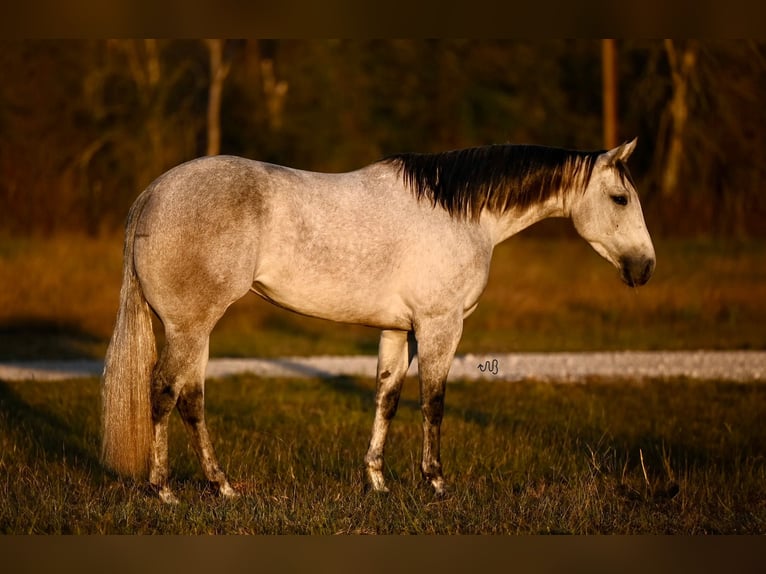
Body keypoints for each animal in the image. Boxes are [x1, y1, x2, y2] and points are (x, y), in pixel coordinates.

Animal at [100, 141, 656, 504]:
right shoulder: (439, 326)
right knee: (163, 392)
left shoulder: (397, 330)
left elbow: (387, 398)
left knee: (190, 400)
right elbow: (433, 402)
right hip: (189, 326)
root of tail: (152, 194)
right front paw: (436, 482)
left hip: (195, 330)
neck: (459, 213)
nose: (645, 267)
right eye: (621, 198)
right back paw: (165, 490)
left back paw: (223, 486)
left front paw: (378, 482)